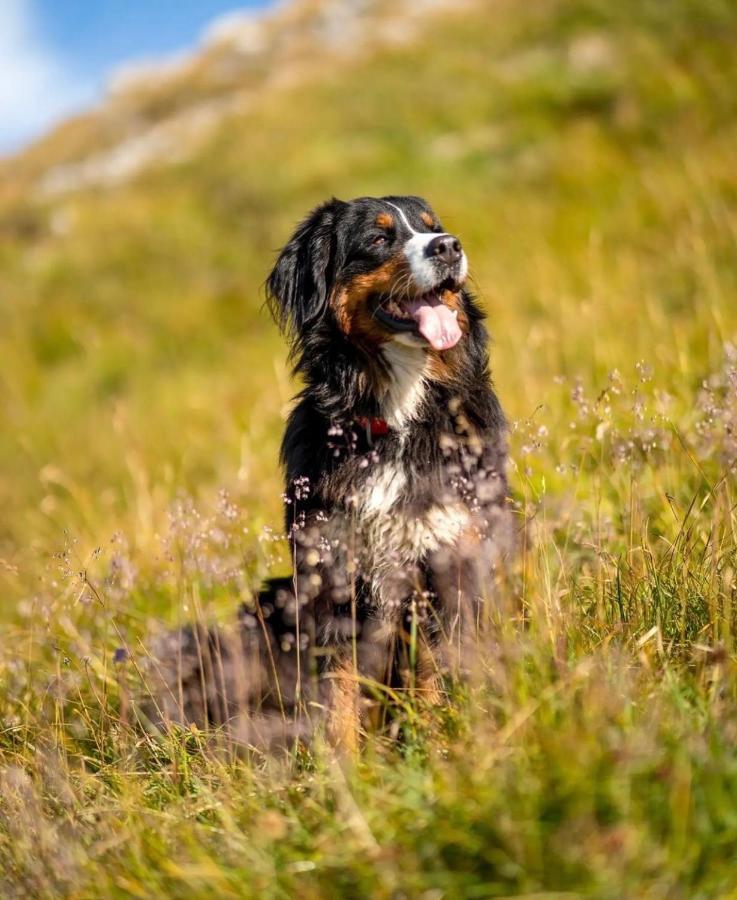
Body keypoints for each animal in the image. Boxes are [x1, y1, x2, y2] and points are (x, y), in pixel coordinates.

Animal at [147, 197, 508, 752]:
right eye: (379, 238)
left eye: (434, 228)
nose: (449, 247)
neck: (395, 417)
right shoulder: (332, 574)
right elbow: (339, 691)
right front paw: (344, 767)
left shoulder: (447, 561)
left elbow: (433, 677)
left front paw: (436, 748)